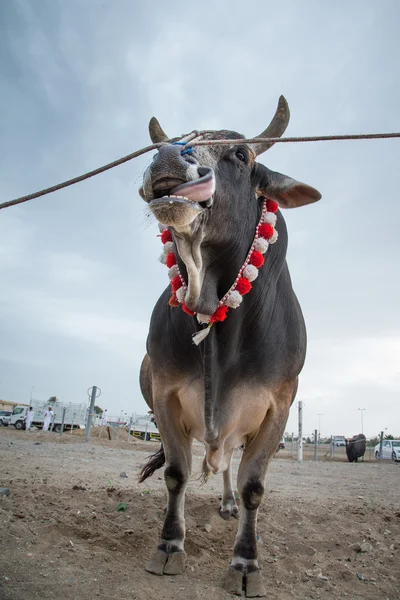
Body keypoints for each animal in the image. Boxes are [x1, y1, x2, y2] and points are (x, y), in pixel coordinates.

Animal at [138, 95, 322, 596]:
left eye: (241, 155)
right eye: (168, 141)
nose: (167, 158)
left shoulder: (278, 406)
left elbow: (252, 485)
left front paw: (245, 563)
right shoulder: (164, 395)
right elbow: (176, 473)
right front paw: (169, 545)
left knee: (228, 468)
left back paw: (227, 505)